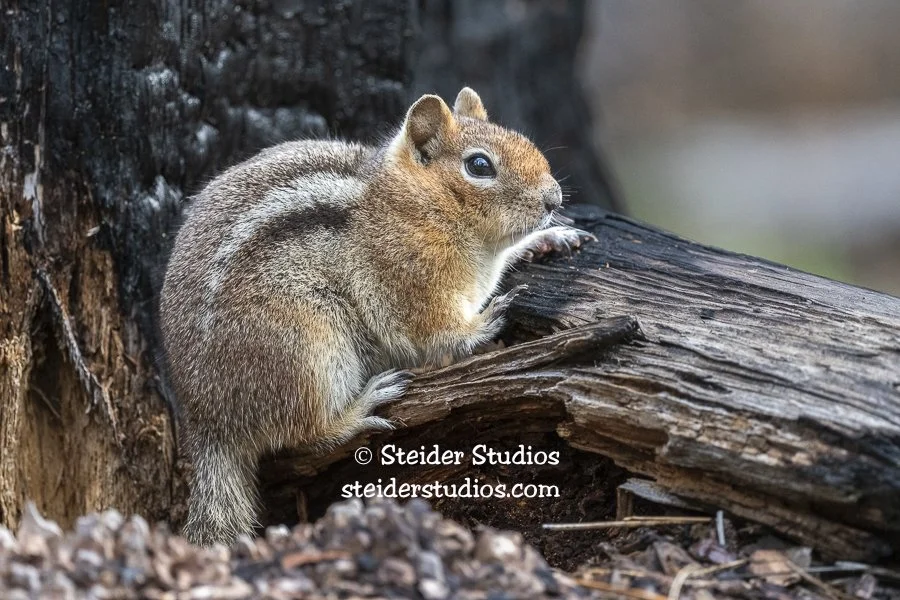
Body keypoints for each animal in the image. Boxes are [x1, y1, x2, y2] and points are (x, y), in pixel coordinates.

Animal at [159, 88, 593, 546]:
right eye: (479, 165)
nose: (554, 199)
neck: (414, 203)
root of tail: (207, 422)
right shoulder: (410, 286)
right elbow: (437, 333)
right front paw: (489, 318)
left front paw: (550, 238)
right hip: (309, 348)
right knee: (306, 435)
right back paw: (363, 406)